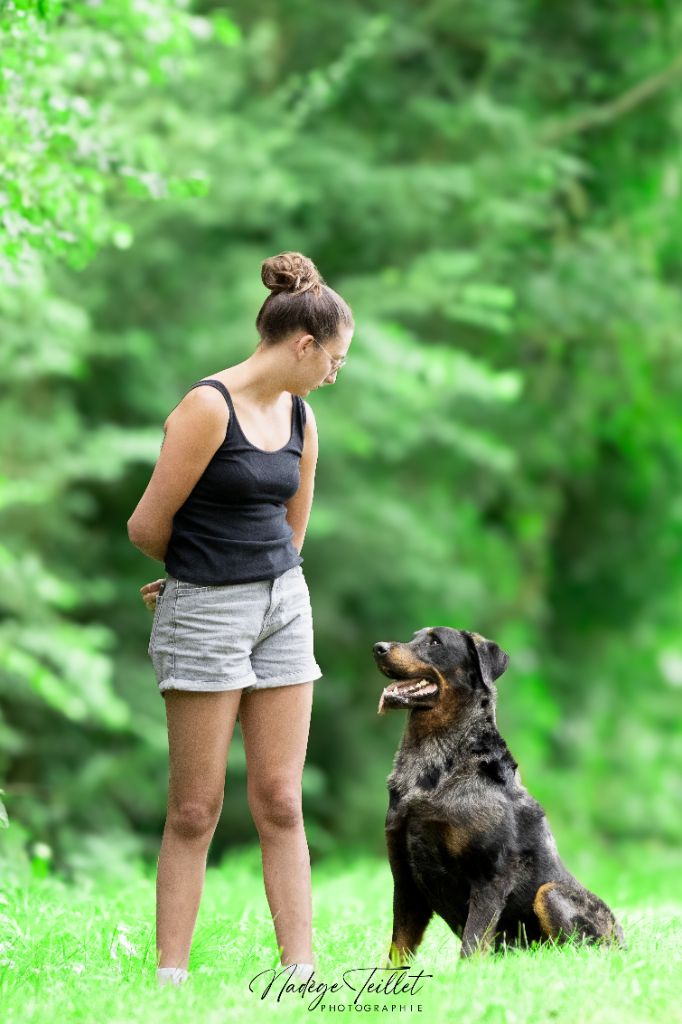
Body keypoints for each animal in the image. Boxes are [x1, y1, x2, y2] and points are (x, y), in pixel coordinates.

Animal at [372, 622, 622, 958]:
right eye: (413, 638)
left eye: (435, 642)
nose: (378, 647)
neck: (434, 767)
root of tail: (622, 941)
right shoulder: (406, 880)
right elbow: (397, 951)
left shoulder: (490, 876)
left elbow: (471, 946)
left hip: (550, 893)